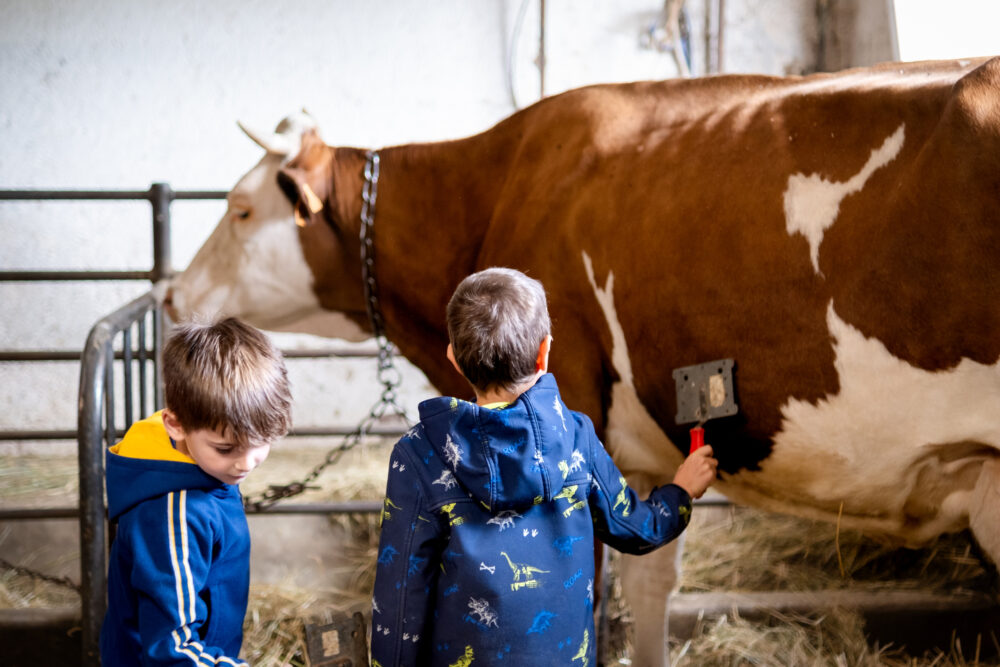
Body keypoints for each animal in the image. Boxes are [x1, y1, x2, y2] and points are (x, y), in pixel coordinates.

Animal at [168, 60, 1000, 664]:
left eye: (240, 209)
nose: (173, 294)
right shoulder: (641, 455)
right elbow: (651, 573)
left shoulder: (575, 403)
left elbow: (597, 595)